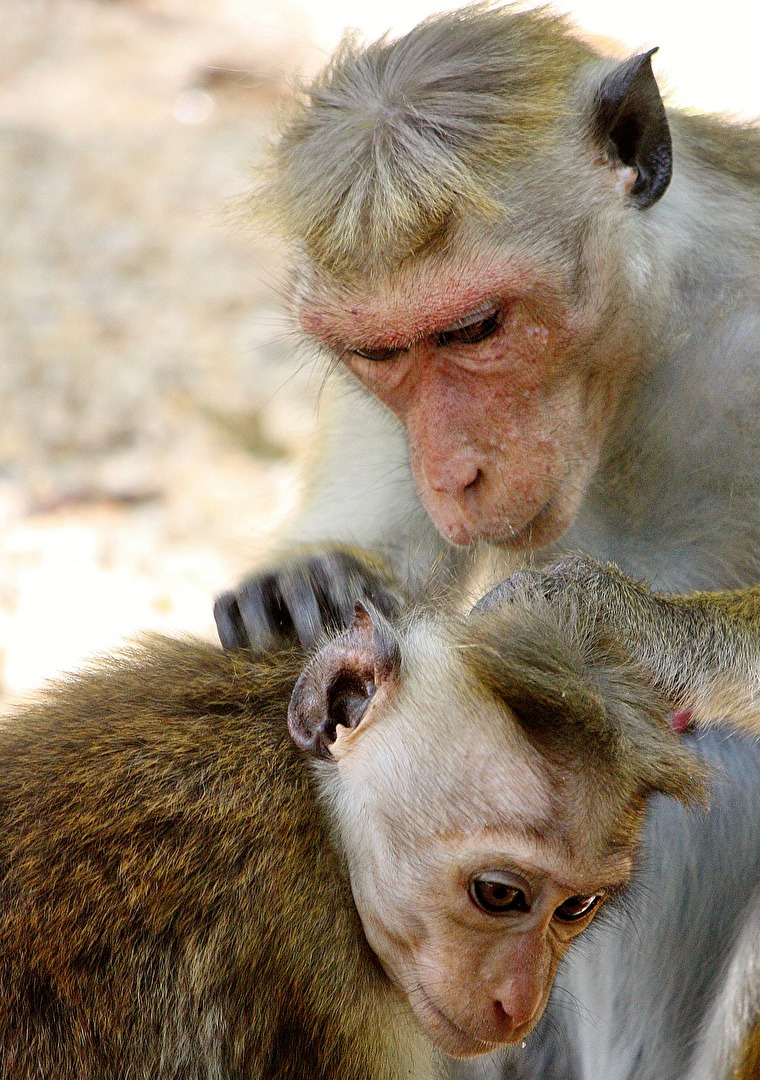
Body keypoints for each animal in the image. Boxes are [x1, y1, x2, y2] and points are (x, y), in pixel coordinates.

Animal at [208, 8, 760, 1079]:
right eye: (380, 353)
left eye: (475, 329)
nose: (452, 473)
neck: (651, 348)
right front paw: (305, 583)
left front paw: (613, 622)